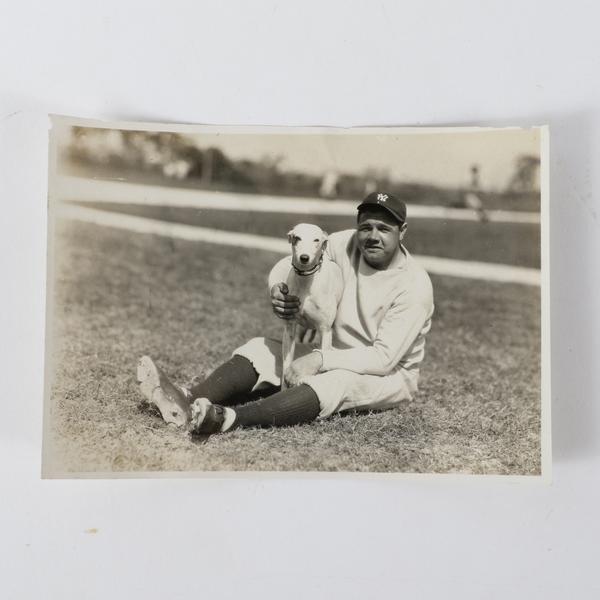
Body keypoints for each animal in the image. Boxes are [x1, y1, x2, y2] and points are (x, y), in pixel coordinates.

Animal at [282, 221, 342, 390]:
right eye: (297, 238)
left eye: (316, 240)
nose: (304, 258)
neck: (306, 283)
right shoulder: (290, 328)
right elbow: (285, 367)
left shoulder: (325, 331)